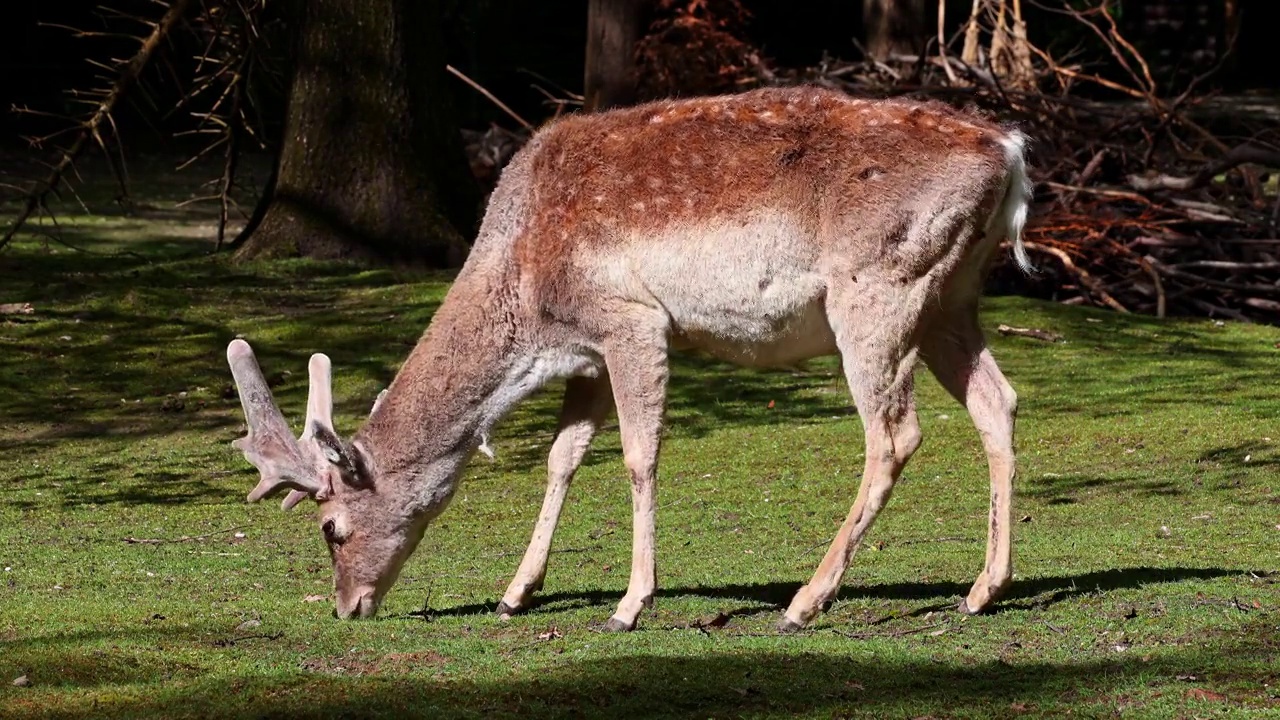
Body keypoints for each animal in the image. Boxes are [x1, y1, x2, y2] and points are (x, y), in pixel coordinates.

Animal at [225, 87, 1034, 630]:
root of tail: (1013, 155)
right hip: (951, 295)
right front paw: (515, 594)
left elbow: (640, 456)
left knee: (895, 433)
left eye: (332, 529)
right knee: (997, 399)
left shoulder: (632, 321)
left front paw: (629, 604)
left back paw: (805, 602)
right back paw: (982, 589)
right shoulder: (583, 354)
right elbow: (562, 459)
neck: (528, 297)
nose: (347, 608)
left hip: (878, 292)